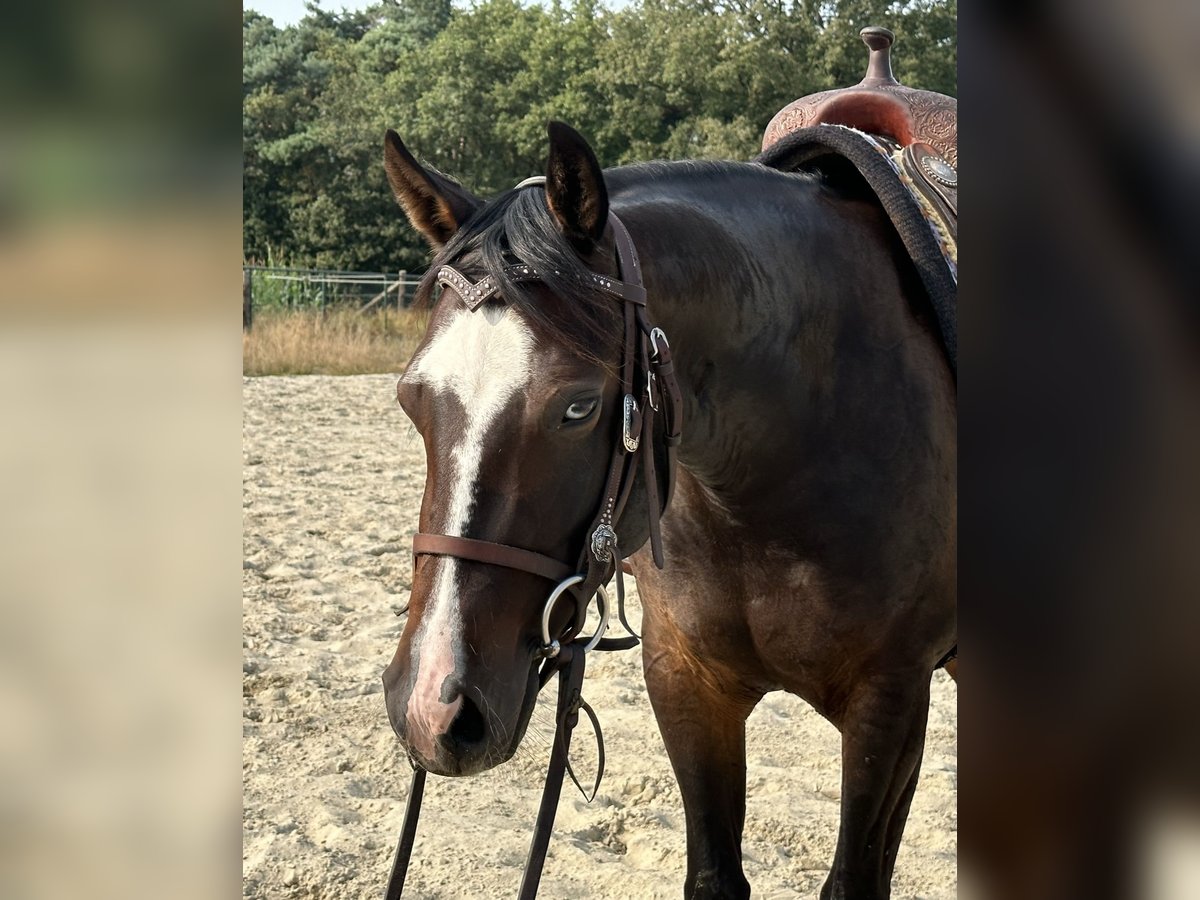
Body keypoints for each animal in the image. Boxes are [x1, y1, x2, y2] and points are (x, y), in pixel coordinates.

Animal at [379, 121, 950, 900]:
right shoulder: (687, 682)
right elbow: (713, 873)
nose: (431, 705)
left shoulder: (889, 703)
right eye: (412, 397)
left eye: (578, 406)